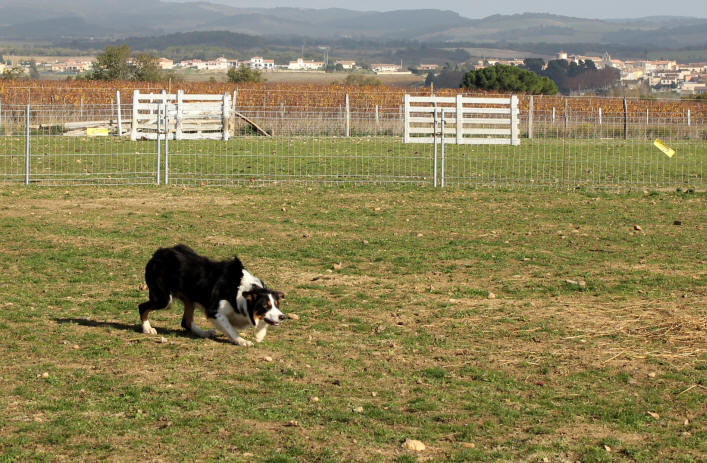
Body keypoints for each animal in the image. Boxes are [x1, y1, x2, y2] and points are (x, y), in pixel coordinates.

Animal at [138, 245, 284, 346]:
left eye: (276, 305)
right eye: (265, 306)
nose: (282, 317)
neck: (237, 290)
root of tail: (158, 253)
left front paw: (259, 335)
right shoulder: (215, 311)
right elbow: (230, 329)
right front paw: (242, 341)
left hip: (189, 298)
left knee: (186, 322)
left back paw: (205, 333)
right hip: (164, 299)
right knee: (142, 307)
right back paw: (147, 328)